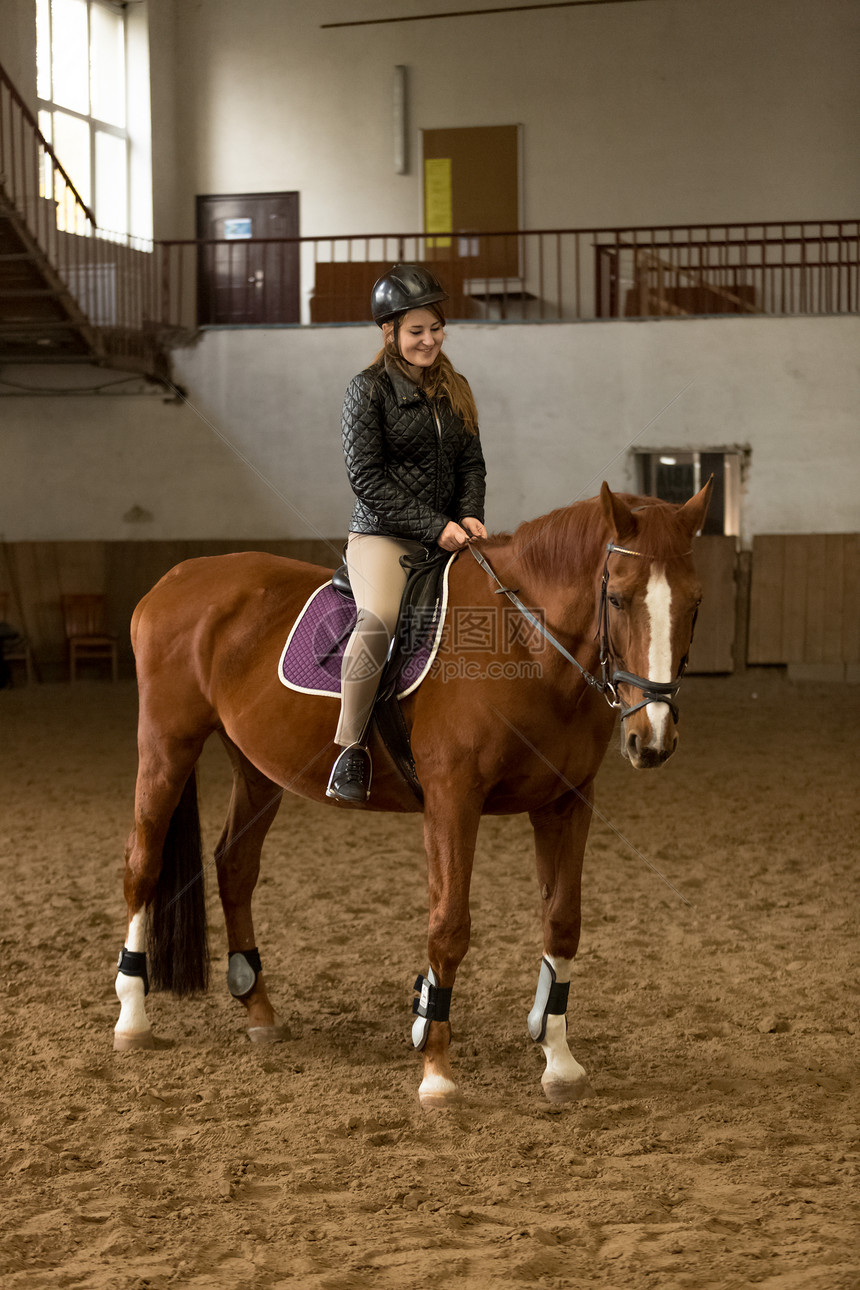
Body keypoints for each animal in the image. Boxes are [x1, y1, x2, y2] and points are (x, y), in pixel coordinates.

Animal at [117, 485, 716, 1109]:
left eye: (695, 603)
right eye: (618, 599)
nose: (652, 739)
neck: (528, 648)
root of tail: (179, 575)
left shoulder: (566, 802)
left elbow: (563, 922)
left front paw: (560, 1062)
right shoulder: (453, 799)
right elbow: (448, 927)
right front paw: (437, 1072)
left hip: (257, 768)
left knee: (235, 865)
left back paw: (260, 1013)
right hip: (166, 746)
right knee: (143, 865)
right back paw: (132, 1019)